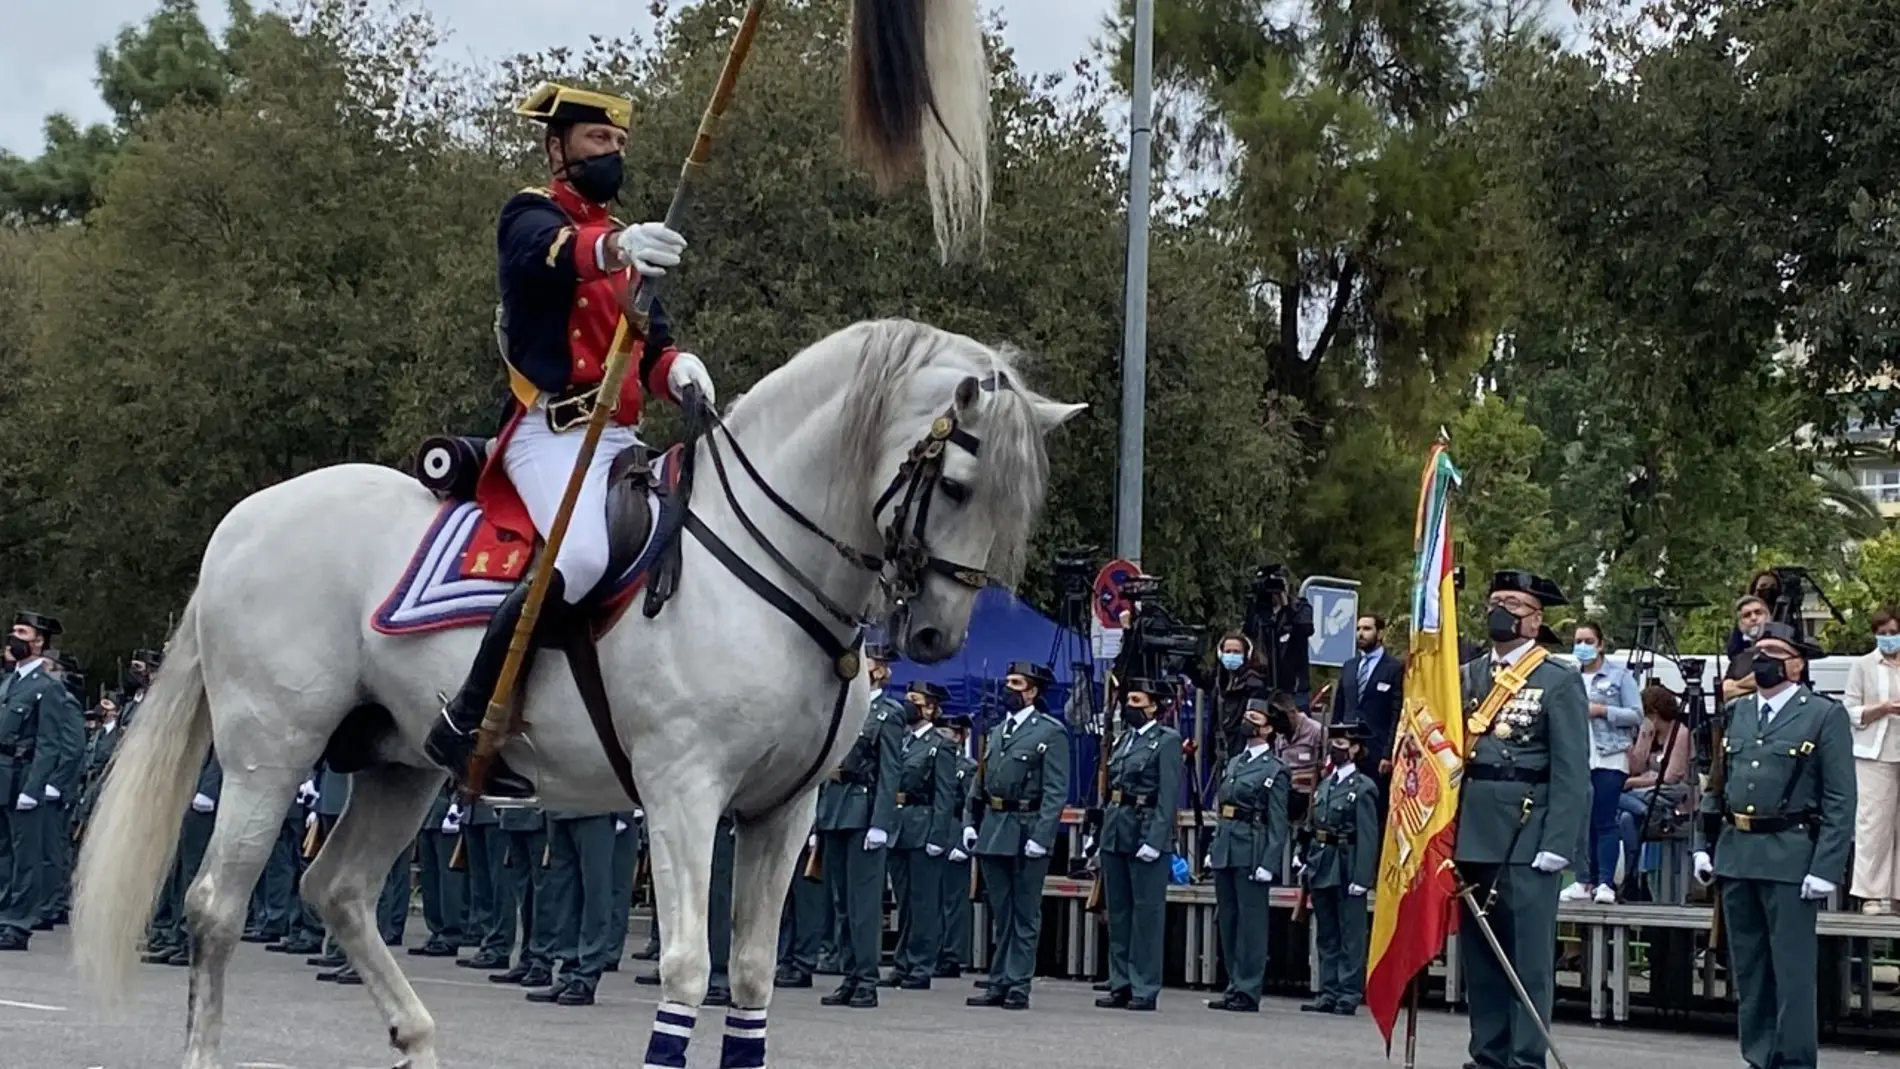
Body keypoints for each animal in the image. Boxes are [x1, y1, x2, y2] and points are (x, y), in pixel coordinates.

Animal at [74, 317, 1086, 1069]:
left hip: (403, 766)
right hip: (270, 753)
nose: (938, 638)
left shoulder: (783, 813)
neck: (765, 567)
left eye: (1017, 499)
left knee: (340, 889)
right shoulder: (683, 794)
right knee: (217, 906)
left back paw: (417, 1037)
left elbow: (752, 977)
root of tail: (244, 518)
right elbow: (686, 968)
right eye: (959, 484)